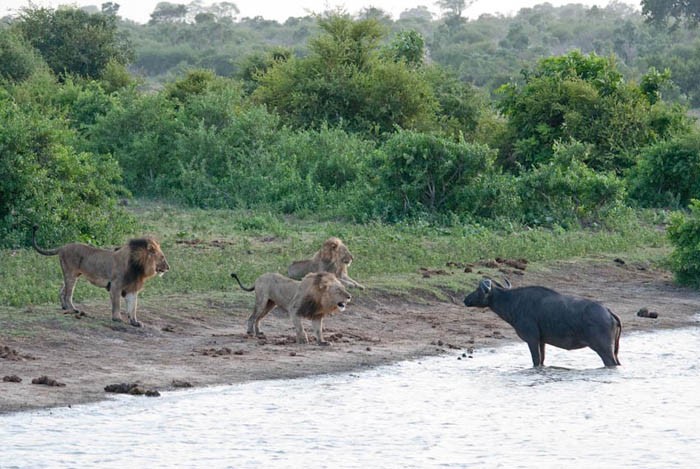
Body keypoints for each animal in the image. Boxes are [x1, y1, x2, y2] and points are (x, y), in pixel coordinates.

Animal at [32, 225, 171, 328]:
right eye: (162, 257)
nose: (168, 267)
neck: (139, 266)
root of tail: (63, 247)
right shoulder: (115, 285)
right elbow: (117, 304)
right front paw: (117, 318)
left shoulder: (132, 289)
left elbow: (133, 307)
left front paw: (135, 322)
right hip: (71, 274)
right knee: (68, 294)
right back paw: (73, 309)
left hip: (72, 274)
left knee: (62, 290)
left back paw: (65, 307)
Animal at [462, 278, 620, 366]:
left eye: (477, 289)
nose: (465, 299)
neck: (514, 302)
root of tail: (608, 311)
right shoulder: (541, 341)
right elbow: (542, 360)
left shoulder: (531, 340)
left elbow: (536, 361)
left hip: (604, 349)